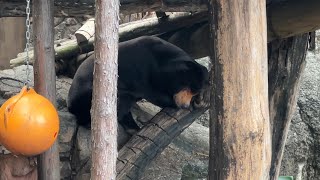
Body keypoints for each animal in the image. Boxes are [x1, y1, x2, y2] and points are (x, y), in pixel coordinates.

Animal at [67, 35, 208, 131]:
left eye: (195, 92)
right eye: (189, 87)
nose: (185, 106)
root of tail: (70, 105)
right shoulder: (143, 71)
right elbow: (154, 94)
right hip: (89, 94)